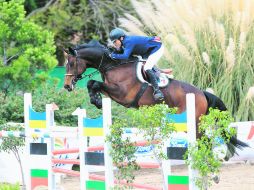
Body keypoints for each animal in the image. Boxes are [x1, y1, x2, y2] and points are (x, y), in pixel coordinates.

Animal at [64, 39, 248, 158]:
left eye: (71, 64)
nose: (66, 86)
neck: (113, 65)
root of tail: (202, 93)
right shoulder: (112, 91)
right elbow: (92, 84)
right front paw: (96, 100)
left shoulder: (122, 93)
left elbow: (93, 83)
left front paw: (96, 100)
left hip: (193, 121)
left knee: (206, 141)